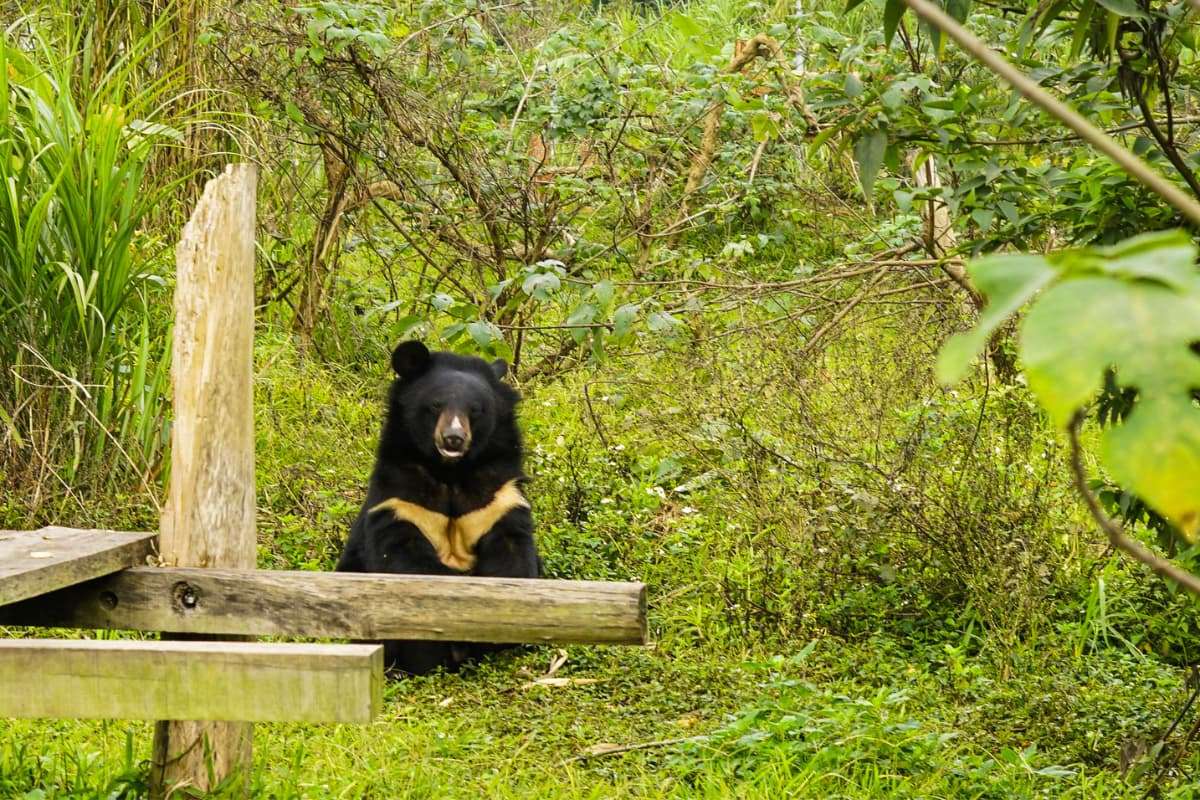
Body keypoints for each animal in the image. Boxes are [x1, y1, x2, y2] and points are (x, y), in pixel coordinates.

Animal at [336, 340, 541, 675]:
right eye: (435, 405)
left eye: (476, 410)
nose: (454, 439)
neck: (450, 473)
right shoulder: (400, 501)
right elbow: (405, 562)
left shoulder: (499, 498)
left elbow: (513, 558)